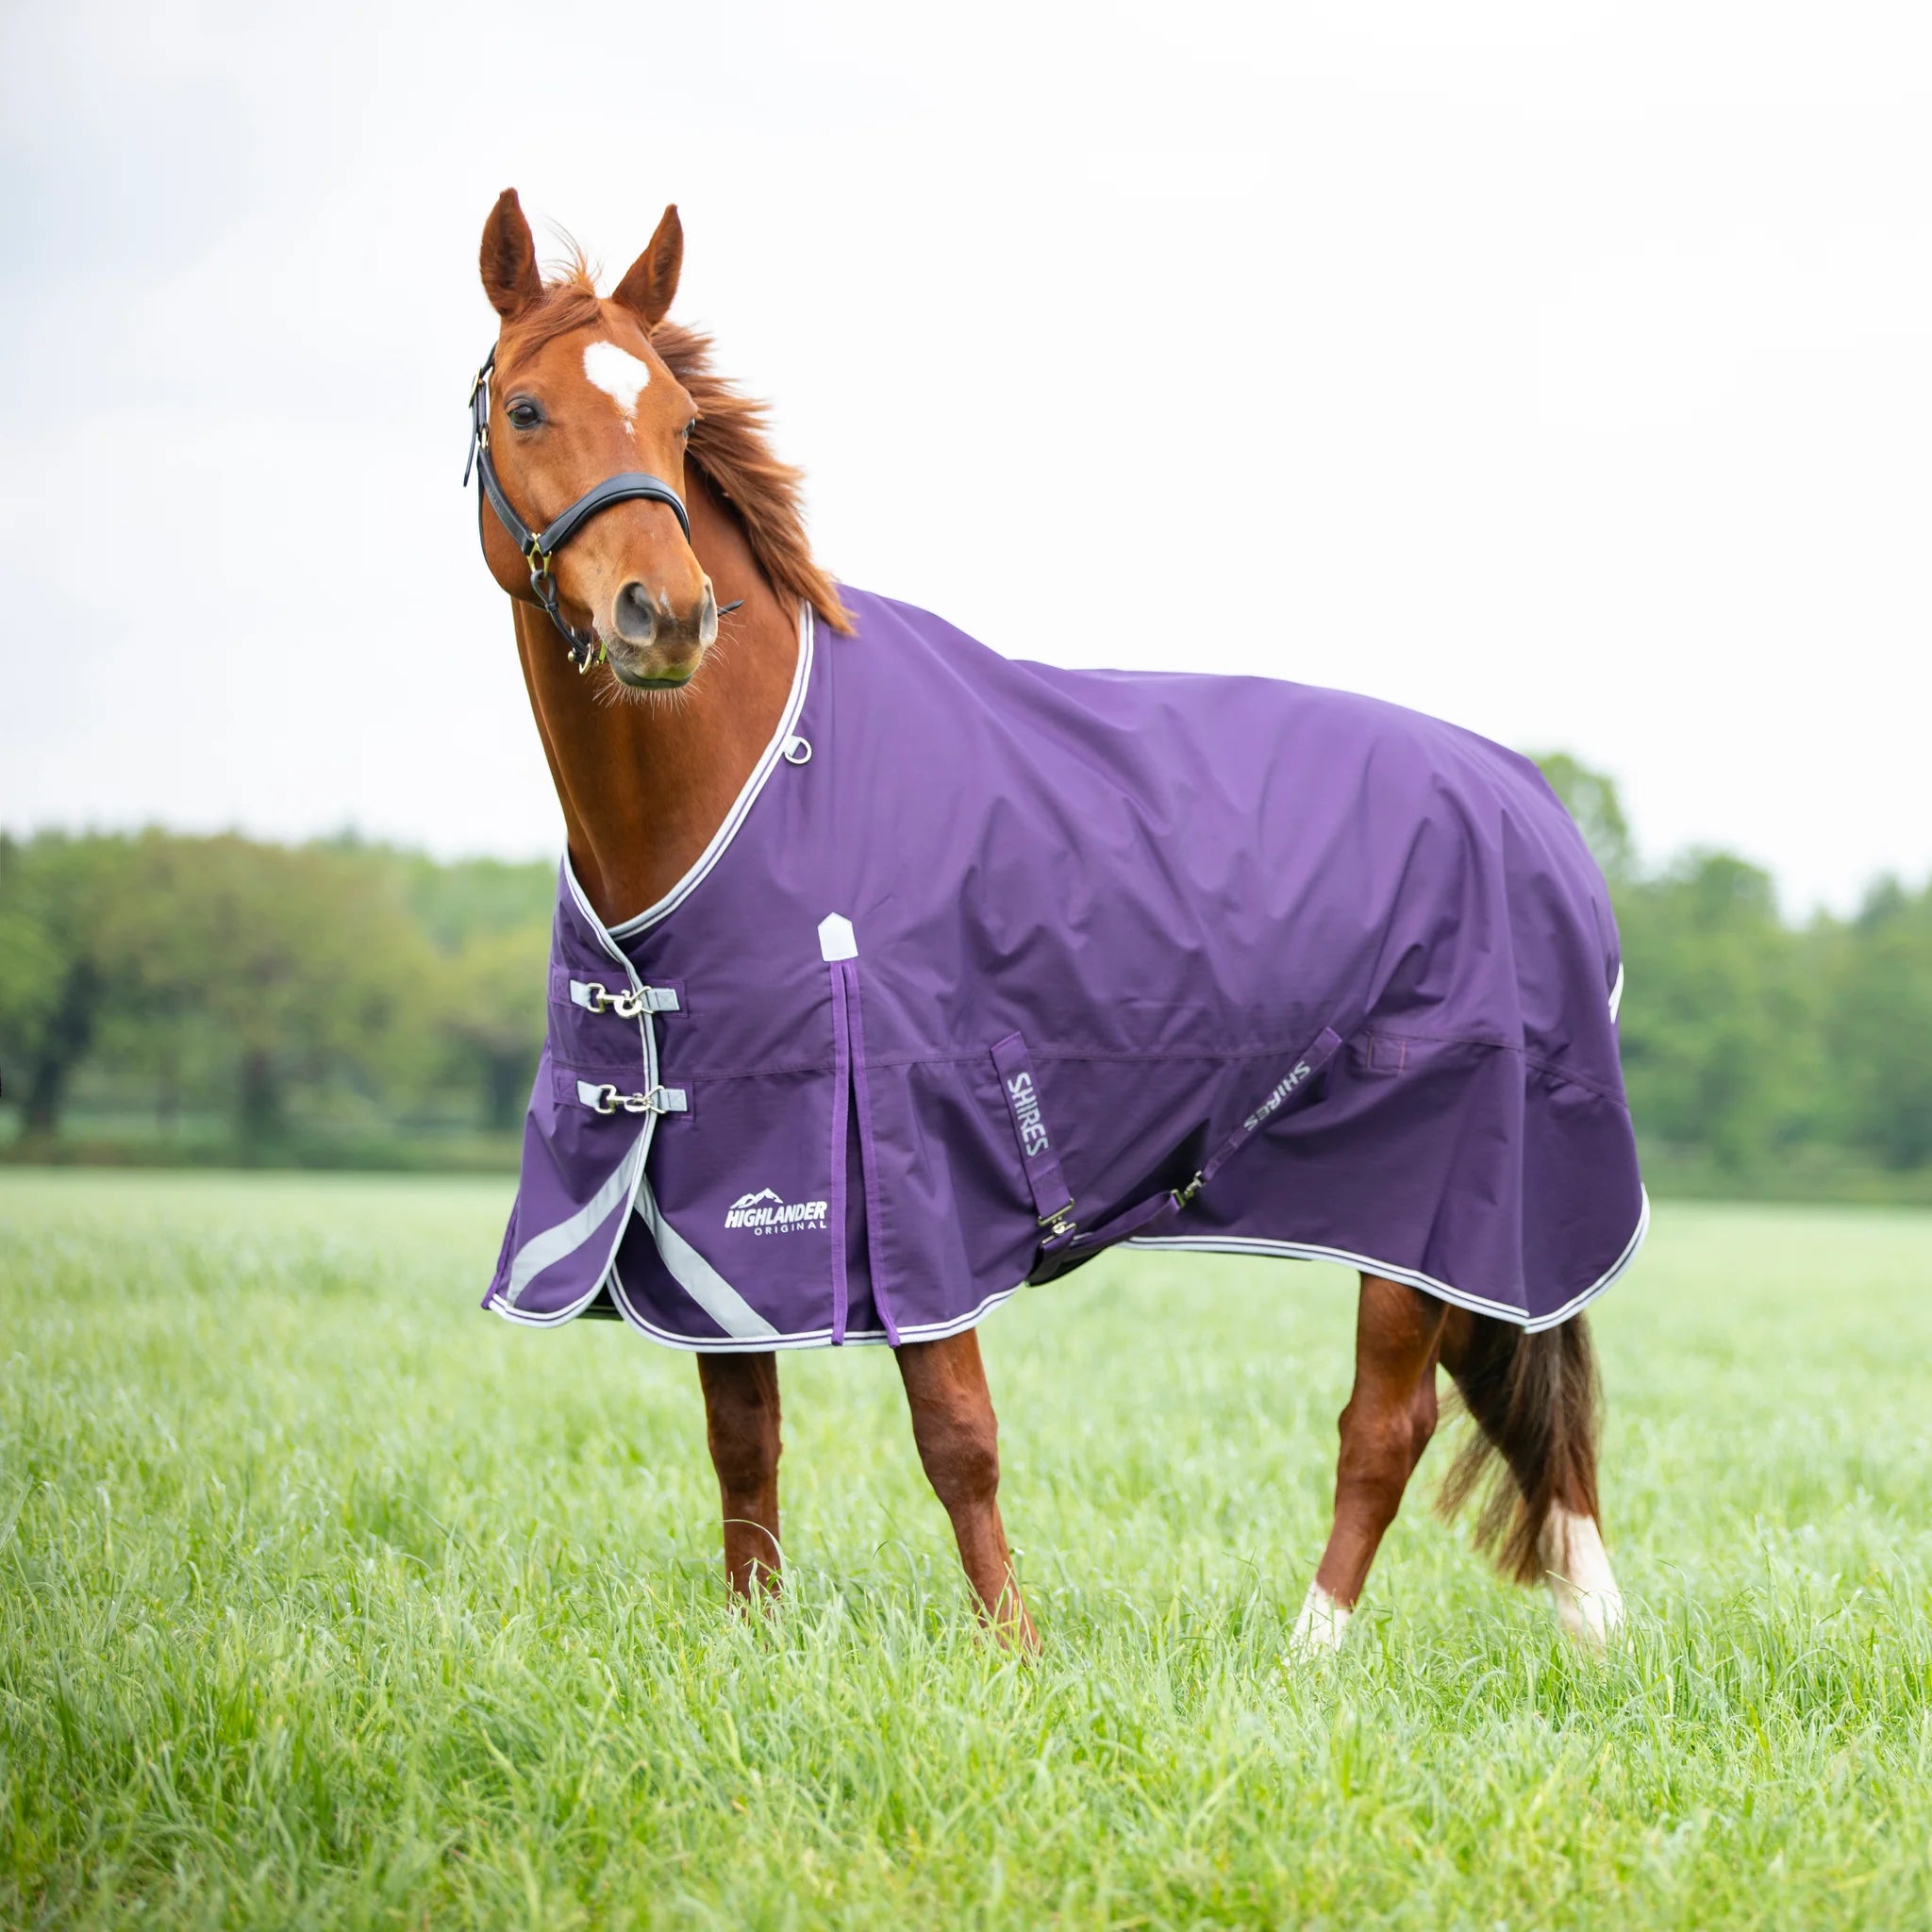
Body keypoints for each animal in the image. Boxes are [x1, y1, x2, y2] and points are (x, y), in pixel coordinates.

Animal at [466, 188, 1638, 1655]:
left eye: (680, 421)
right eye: (528, 409)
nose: (663, 616)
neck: (761, 776)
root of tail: (1533, 806)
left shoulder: (903, 1158)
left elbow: (956, 1434)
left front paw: (1014, 1650)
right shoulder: (723, 1191)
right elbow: (743, 1433)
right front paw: (755, 1638)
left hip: (1423, 1187)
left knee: (1388, 1423)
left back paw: (1311, 1652)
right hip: (1469, 1216)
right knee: (1514, 1389)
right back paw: (1596, 1631)